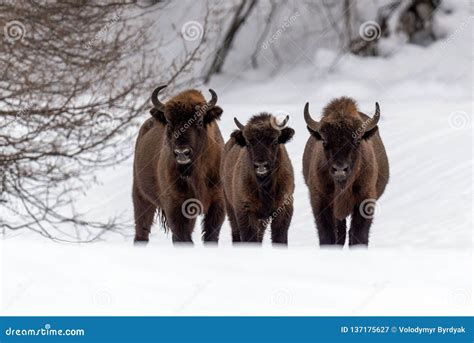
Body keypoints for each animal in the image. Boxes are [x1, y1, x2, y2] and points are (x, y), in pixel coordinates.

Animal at [131, 85, 224, 245]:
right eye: (169, 123)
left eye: (199, 122)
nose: (182, 152)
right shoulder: (175, 207)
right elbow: (182, 238)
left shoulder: (217, 202)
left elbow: (210, 236)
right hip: (141, 197)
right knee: (141, 233)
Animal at [221, 113, 294, 245]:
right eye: (248, 143)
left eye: (275, 141)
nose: (261, 165)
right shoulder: (246, 212)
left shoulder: (283, 209)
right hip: (230, 208)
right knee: (236, 233)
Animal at [304, 97, 388, 247]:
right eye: (324, 141)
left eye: (358, 140)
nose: (340, 169)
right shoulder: (320, 201)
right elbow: (327, 236)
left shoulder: (365, 200)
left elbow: (359, 235)